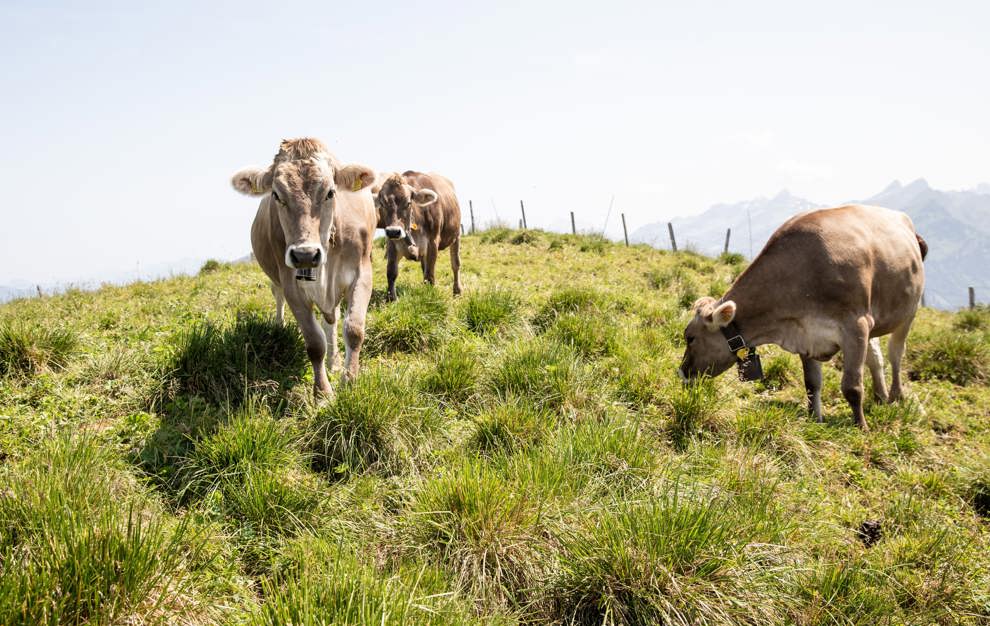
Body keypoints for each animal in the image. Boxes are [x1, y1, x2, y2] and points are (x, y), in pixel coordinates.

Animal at [231, 138, 377, 396]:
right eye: (277, 195)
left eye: (330, 192)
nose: (305, 254)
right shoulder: (292, 286)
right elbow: (314, 344)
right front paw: (322, 394)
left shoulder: (362, 273)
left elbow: (354, 330)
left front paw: (349, 381)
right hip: (277, 280)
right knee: (278, 296)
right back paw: (279, 327)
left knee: (332, 320)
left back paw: (335, 362)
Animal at [373, 171, 462, 301]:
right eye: (382, 204)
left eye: (408, 203)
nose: (393, 231)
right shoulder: (392, 243)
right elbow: (391, 272)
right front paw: (392, 299)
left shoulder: (432, 242)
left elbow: (430, 274)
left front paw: (430, 297)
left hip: (456, 235)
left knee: (455, 264)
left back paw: (457, 292)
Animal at [678, 204, 927, 430]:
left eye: (690, 337)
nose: (682, 372)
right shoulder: (807, 333)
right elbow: (811, 383)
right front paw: (815, 419)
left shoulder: (856, 325)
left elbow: (852, 387)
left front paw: (861, 428)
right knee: (875, 357)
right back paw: (880, 396)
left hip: (909, 311)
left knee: (896, 353)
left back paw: (896, 395)